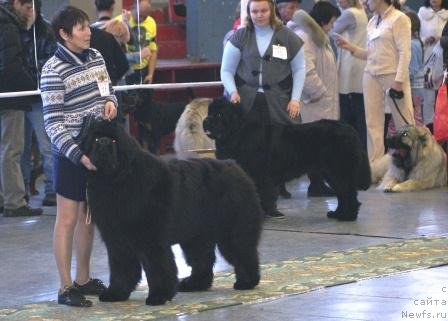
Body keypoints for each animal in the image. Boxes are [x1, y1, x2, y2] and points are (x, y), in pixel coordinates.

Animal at [81, 119, 262, 304]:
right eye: (95, 139)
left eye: (114, 141)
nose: (103, 142)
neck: (117, 180)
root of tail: (235, 166)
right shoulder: (117, 240)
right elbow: (121, 268)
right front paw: (116, 293)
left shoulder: (151, 239)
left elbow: (158, 268)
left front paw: (158, 295)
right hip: (196, 235)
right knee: (202, 259)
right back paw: (194, 284)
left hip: (231, 230)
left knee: (243, 252)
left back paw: (246, 282)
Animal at [203, 97, 372, 221]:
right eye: (209, 113)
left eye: (219, 115)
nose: (205, 121)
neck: (238, 133)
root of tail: (351, 129)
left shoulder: (261, 176)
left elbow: (263, 196)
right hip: (331, 173)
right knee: (342, 194)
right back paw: (337, 214)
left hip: (340, 171)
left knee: (348, 194)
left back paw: (347, 217)